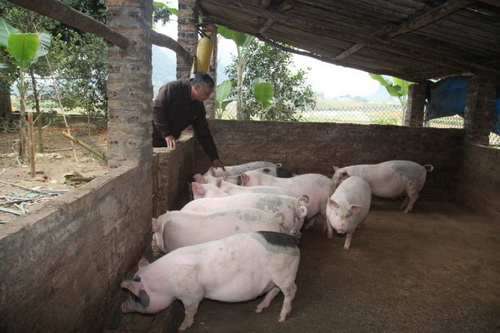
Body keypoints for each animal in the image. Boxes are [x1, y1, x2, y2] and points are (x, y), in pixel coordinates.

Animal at [121, 231, 300, 330]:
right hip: (275, 278)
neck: (164, 284)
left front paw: (182, 327)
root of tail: (292, 240)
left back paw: (281, 318)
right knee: (274, 290)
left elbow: (190, 311)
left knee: (291, 291)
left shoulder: (192, 295)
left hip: (285, 274)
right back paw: (258, 309)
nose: (122, 306)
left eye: (134, 296)